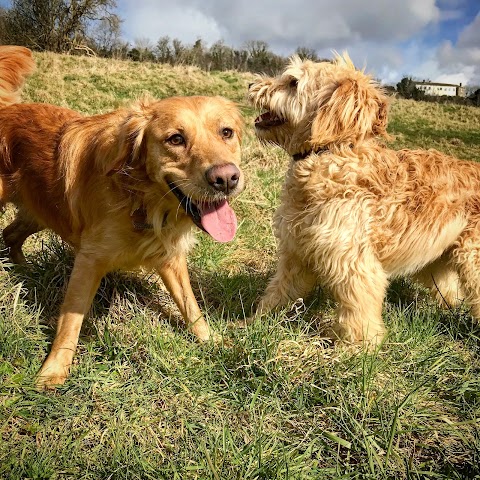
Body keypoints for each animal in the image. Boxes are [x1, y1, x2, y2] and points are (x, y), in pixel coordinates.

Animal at [0, 47, 244, 386]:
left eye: (226, 132)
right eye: (175, 139)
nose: (226, 179)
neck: (142, 200)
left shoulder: (169, 258)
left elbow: (190, 305)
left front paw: (214, 342)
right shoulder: (89, 260)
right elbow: (71, 321)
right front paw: (53, 371)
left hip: (39, 210)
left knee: (10, 234)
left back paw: (24, 269)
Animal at [248, 51, 480, 344]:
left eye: (293, 82)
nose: (250, 85)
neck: (332, 152)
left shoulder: (354, 263)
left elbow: (358, 309)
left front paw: (359, 347)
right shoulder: (296, 254)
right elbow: (279, 291)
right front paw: (253, 324)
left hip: (472, 259)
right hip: (438, 258)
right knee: (450, 291)